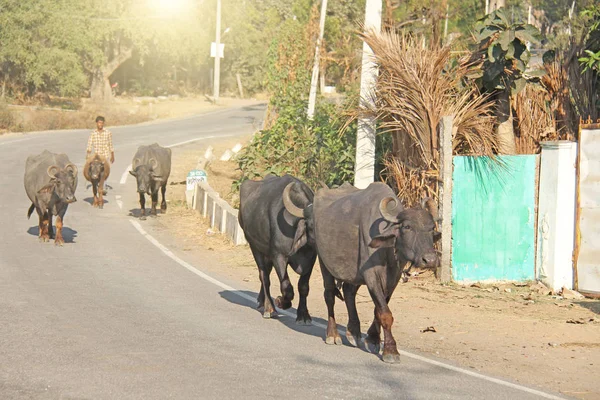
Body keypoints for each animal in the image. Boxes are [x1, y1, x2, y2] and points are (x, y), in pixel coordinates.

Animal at [238, 175, 316, 324]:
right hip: (254, 247)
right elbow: (286, 287)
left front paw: (303, 315)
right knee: (264, 276)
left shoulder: (311, 259)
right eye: (314, 224)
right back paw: (269, 308)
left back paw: (261, 301)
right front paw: (280, 302)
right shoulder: (278, 255)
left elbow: (303, 286)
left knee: (266, 273)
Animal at [314, 183, 440, 364]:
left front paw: (373, 339)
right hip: (324, 263)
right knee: (329, 295)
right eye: (407, 227)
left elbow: (379, 309)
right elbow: (385, 313)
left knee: (348, 291)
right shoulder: (371, 276)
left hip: (353, 273)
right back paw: (332, 334)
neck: (387, 252)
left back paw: (354, 332)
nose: (429, 260)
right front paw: (390, 350)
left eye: (431, 228)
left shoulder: (393, 278)